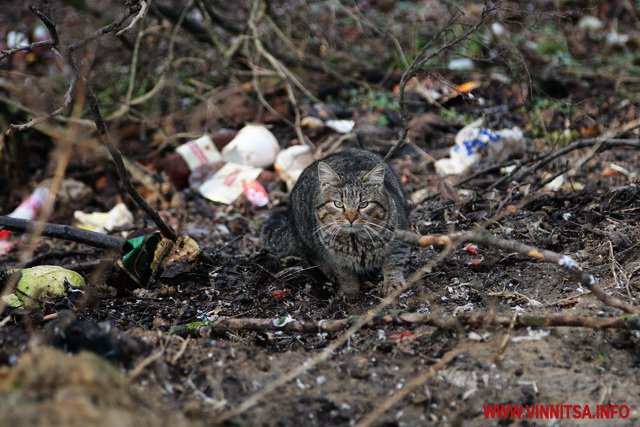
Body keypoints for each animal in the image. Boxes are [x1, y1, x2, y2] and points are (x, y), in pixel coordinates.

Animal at [262, 149, 408, 300]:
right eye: (338, 204)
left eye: (364, 204)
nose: (351, 218)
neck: (355, 241)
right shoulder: (336, 259)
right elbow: (345, 275)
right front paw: (349, 292)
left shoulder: (399, 240)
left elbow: (394, 262)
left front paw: (393, 283)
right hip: (307, 236)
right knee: (314, 257)